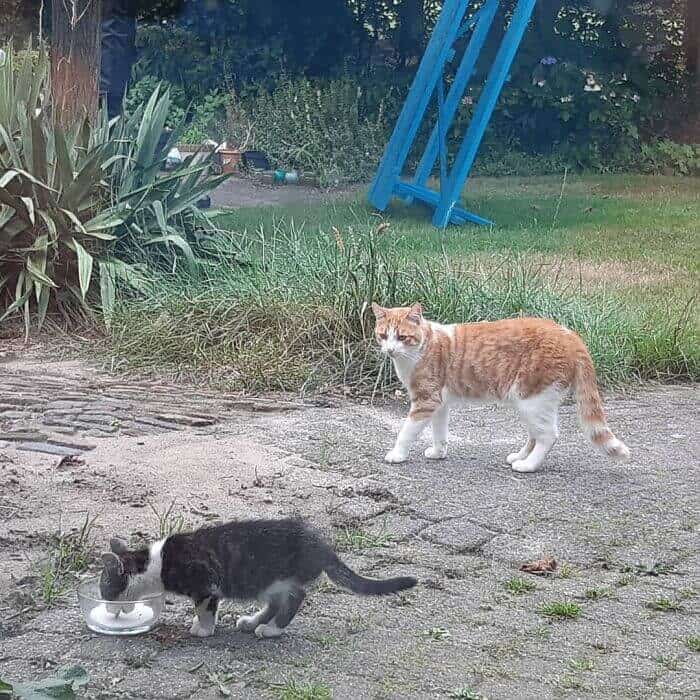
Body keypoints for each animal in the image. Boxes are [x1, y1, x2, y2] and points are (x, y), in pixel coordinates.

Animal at [98, 516, 416, 636]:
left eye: (104, 589)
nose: (107, 609)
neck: (155, 563)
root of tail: (322, 545)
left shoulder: (206, 581)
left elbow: (204, 607)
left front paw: (203, 628)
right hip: (266, 582)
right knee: (276, 602)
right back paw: (253, 622)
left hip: (279, 577)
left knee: (296, 597)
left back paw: (272, 629)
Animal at [374, 304, 632, 474]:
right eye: (383, 335)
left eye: (402, 337)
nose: (389, 350)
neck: (420, 349)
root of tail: (571, 336)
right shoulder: (439, 403)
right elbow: (440, 432)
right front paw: (438, 452)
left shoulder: (425, 401)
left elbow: (406, 431)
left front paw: (397, 454)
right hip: (532, 404)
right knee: (535, 435)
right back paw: (519, 456)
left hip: (532, 399)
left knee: (548, 436)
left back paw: (527, 465)